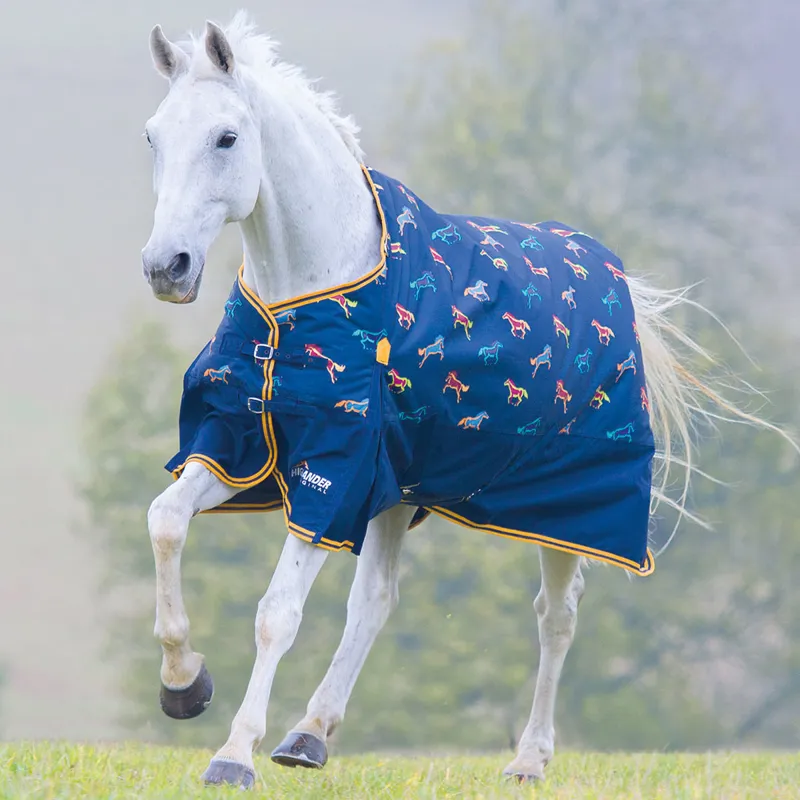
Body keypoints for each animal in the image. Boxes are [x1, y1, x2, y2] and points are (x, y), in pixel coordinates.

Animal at [140, 14, 795, 790]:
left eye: (227, 137)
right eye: (152, 136)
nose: (165, 267)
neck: (306, 298)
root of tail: (614, 277)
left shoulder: (333, 472)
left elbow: (278, 612)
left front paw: (233, 754)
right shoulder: (242, 445)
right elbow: (165, 522)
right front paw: (185, 684)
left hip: (564, 510)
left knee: (556, 616)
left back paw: (529, 759)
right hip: (400, 490)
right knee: (376, 600)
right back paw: (309, 734)